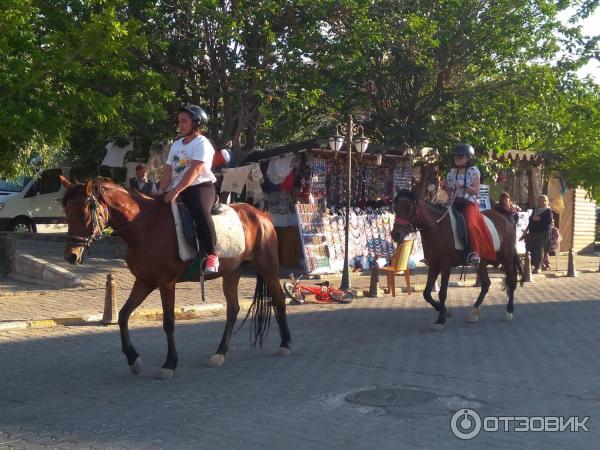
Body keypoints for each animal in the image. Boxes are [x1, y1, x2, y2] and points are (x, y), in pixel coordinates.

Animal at [58, 176, 290, 376]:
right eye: (67, 213)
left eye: (83, 213)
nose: (71, 255)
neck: (146, 226)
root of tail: (261, 214)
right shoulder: (144, 281)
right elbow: (123, 315)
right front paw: (133, 359)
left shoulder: (166, 283)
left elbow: (168, 322)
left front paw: (169, 363)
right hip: (232, 272)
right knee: (233, 309)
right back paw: (220, 353)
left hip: (267, 266)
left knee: (278, 299)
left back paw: (285, 344)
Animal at [392, 188, 524, 328]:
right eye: (395, 208)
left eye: (410, 208)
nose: (395, 234)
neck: (437, 227)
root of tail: (506, 219)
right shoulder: (434, 265)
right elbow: (426, 293)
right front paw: (444, 311)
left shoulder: (445, 266)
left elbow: (442, 293)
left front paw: (440, 320)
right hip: (482, 262)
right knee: (486, 284)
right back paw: (474, 312)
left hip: (506, 258)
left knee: (511, 281)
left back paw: (509, 311)